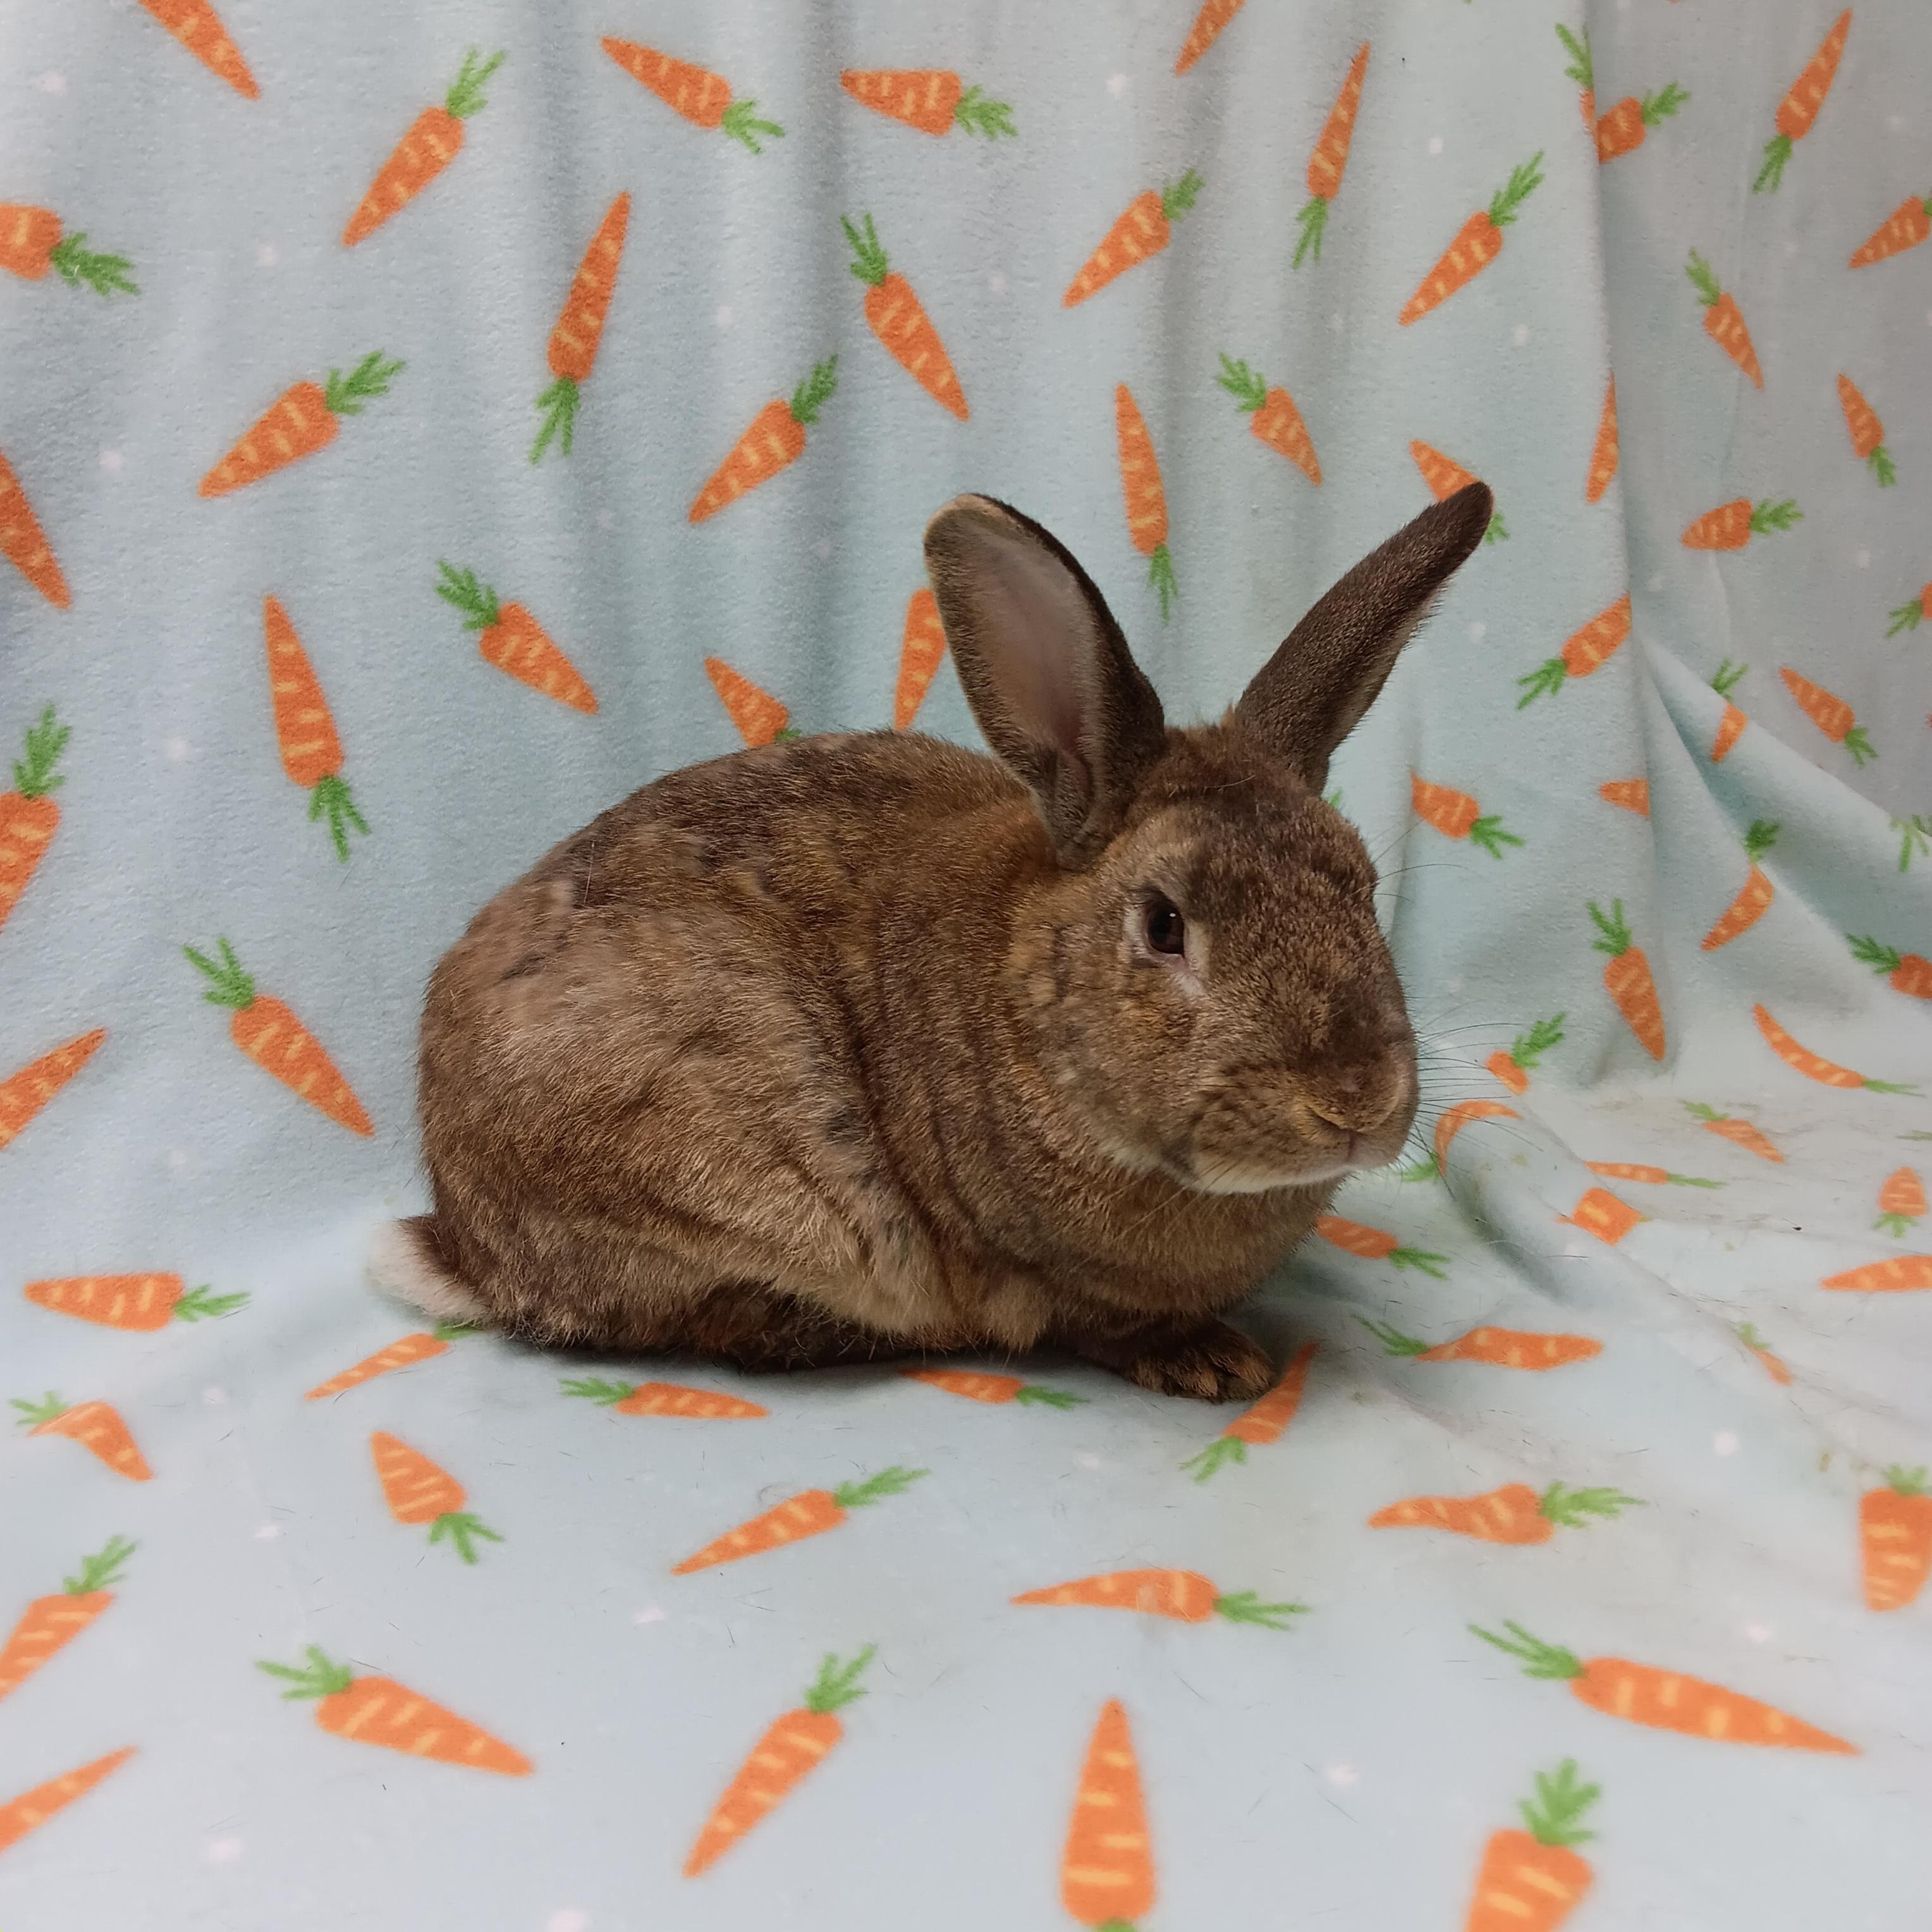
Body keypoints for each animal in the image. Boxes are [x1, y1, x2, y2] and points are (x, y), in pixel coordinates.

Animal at [371, 481, 1492, 1401]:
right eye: (1165, 925)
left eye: (1364, 887)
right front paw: (1210, 1360)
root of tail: (465, 1241)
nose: (1353, 1104)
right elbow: (1098, 1321)